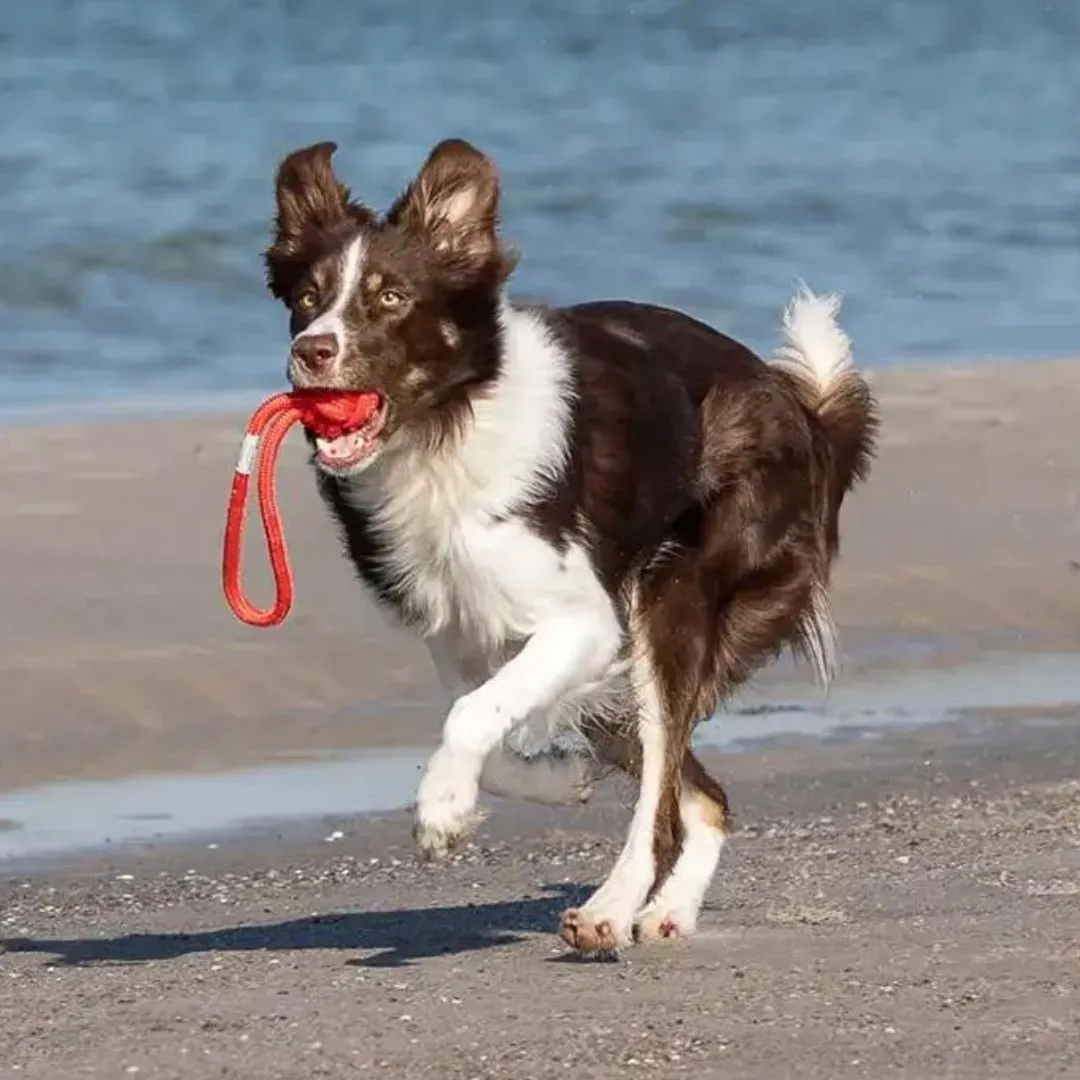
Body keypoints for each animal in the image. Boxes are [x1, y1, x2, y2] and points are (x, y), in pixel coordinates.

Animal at [261, 137, 876, 954]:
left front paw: (441, 810)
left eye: (391, 298)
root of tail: (804, 412)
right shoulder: (459, 631)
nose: (312, 351)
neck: (446, 434)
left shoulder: (587, 624)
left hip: (667, 606)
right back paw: (669, 909)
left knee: (663, 800)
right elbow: (487, 721)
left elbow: (473, 715)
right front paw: (551, 780)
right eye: (307, 297)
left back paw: (611, 908)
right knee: (701, 795)